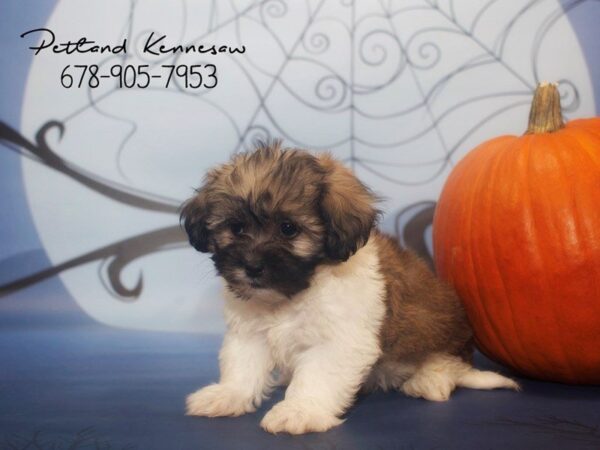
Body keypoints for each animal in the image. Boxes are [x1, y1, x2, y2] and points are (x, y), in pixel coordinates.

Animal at [180, 142, 516, 436]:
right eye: (236, 228)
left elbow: (317, 376)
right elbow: (243, 366)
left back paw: (429, 380)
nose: (251, 266)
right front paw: (228, 394)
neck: (291, 295)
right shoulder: (250, 332)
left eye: (289, 229)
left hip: (443, 333)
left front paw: (300, 410)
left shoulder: (339, 340)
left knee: (448, 363)